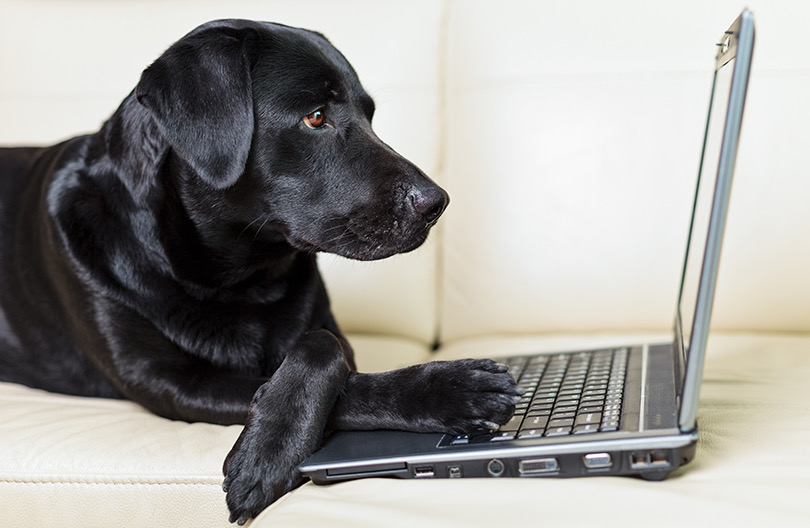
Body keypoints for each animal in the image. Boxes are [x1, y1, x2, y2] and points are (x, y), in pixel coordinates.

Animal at [0, 19, 516, 524]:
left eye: (369, 115)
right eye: (315, 117)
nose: (437, 203)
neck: (238, 279)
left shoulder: (328, 331)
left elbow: (319, 344)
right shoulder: (165, 381)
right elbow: (324, 381)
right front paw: (452, 390)